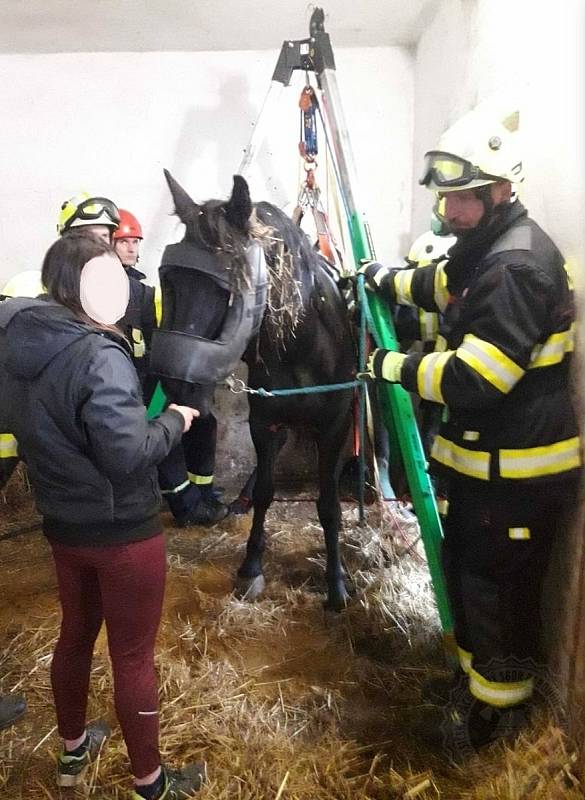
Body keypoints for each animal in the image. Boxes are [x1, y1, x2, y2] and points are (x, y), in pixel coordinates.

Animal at [154, 170, 356, 608]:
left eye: (225, 289)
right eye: (169, 282)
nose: (177, 385)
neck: (302, 347)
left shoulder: (334, 427)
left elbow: (329, 504)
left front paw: (335, 579)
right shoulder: (264, 422)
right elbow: (265, 490)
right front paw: (251, 566)